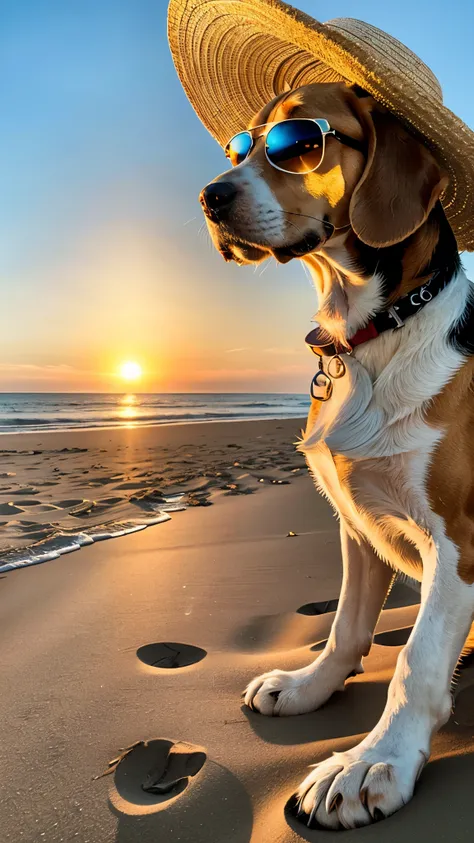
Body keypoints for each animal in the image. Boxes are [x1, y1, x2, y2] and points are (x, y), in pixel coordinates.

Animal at [198, 82, 474, 836]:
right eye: (240, 146)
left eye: (298, 141)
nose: (209, 196)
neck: (373, 334)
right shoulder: (358, 524)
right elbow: (347, 625)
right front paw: (308, 687)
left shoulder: (459, 541)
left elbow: (417, 658)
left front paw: (373, 760)